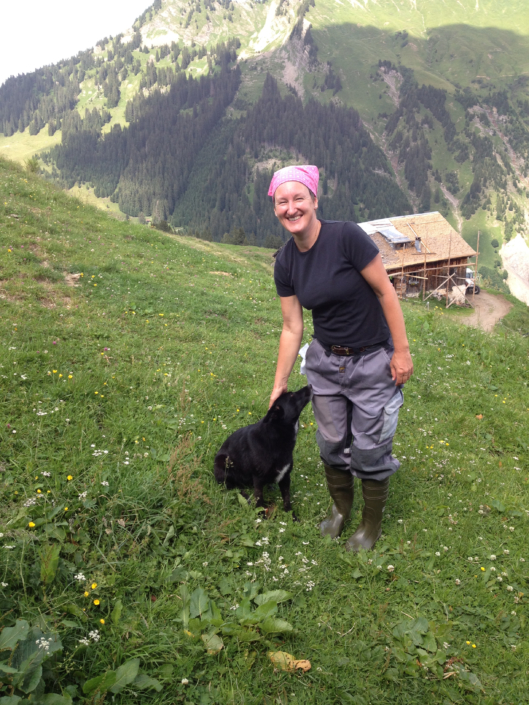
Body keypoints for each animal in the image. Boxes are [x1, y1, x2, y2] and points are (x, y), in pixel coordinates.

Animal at [213, 384, 312, 516]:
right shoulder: (258, 479)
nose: (310, 385)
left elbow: (287, 499)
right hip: (224, 463)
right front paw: (261, 516)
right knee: (236, 487)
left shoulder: (285, 477)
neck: (276, 435)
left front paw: (291, 516)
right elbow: (259, 500)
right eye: (291, 395)